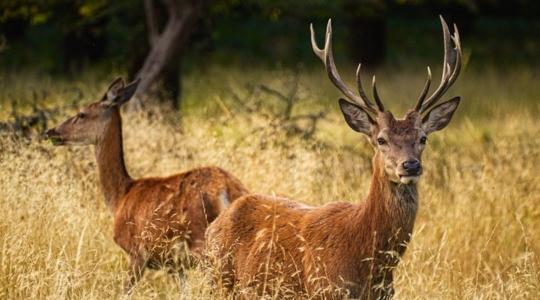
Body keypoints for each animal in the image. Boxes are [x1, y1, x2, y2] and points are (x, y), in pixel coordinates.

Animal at [44, 78, 247, 294]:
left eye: (81, 114)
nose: (50, 131)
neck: (120, 197)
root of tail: (227, 190)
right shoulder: (175, 265)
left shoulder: (136, 252)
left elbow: (124, 292)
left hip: (202, 243)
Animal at [205, 17, 462, 300]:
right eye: (381, 139)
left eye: (423, 138)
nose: (411, 165)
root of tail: (214, 225)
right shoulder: (324, 289)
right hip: (218, 280)